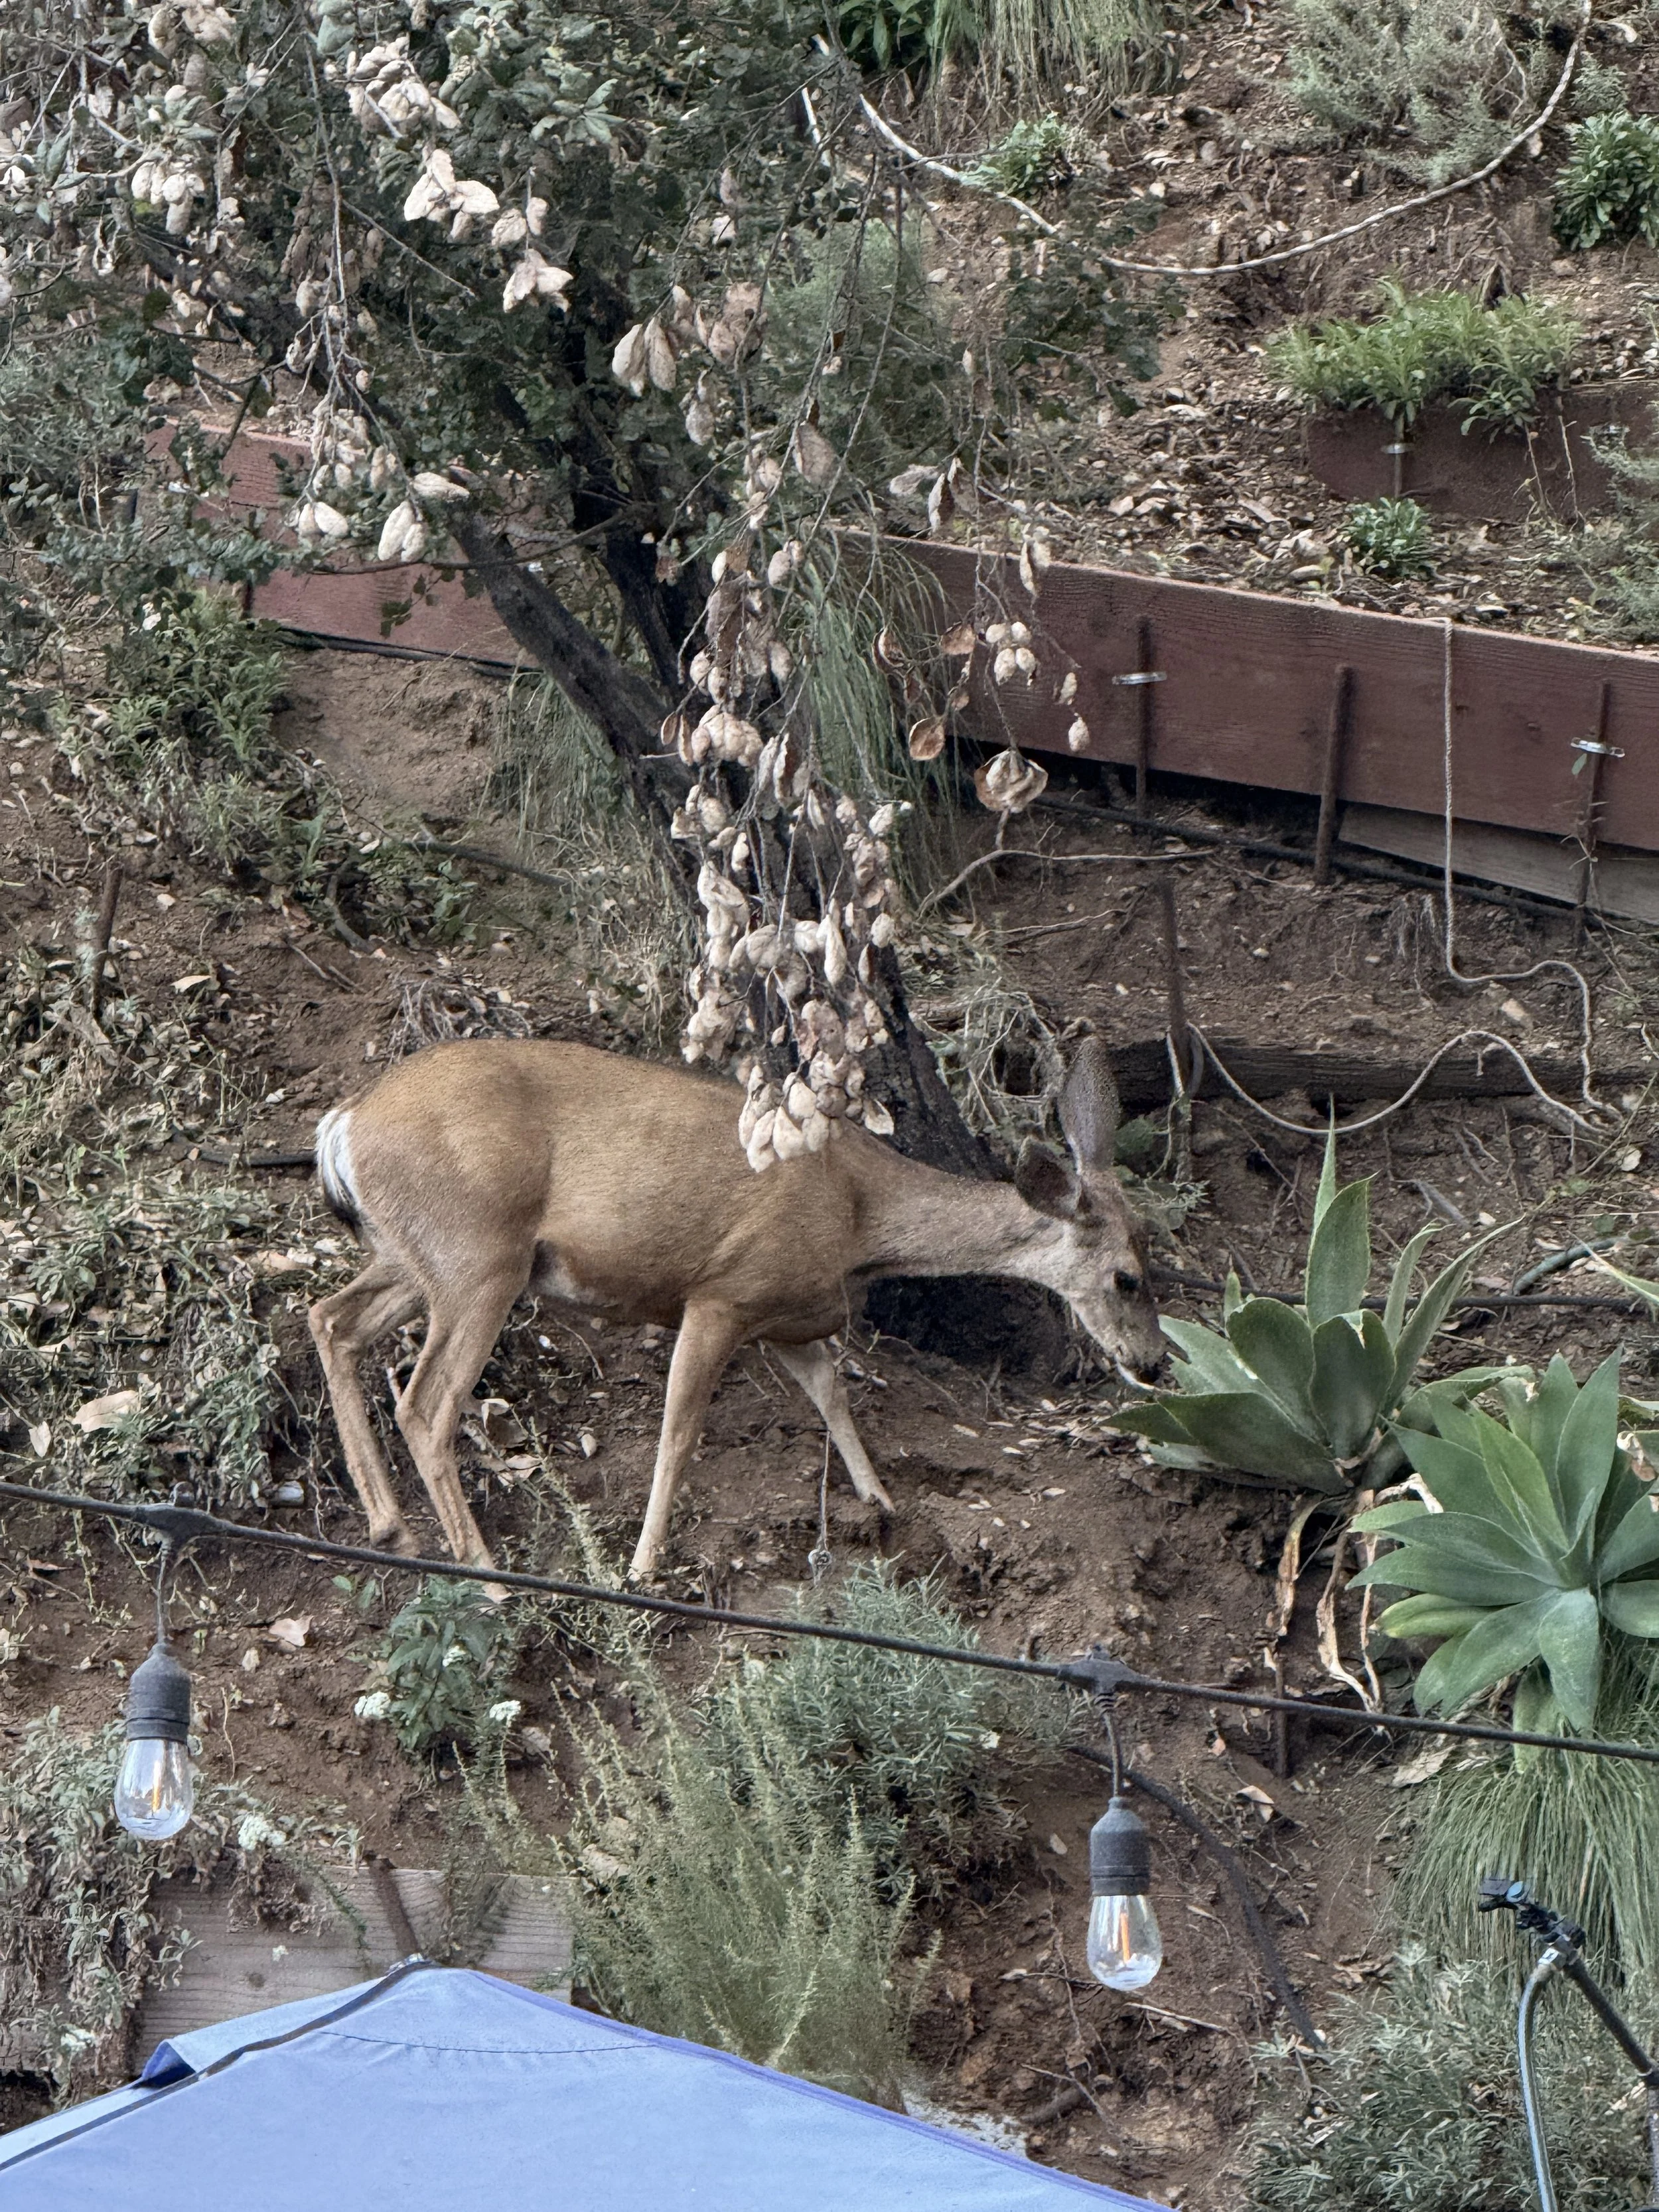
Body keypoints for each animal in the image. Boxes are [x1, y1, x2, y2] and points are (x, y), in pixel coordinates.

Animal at [307, 1034, 1165, 1584]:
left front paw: (880, 1501)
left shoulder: (784, 1314)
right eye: (1128, 1277)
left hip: (413, 1254)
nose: (1153, 1361)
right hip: (480, 1252)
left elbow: (832, 1394)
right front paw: (641, 1567)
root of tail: (342, 1123)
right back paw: (486, 1575)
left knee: (331, 1320)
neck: (859, 1216)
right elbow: (679, 1433)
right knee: (424, 1403)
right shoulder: (723, 1290)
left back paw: (389, 1524)